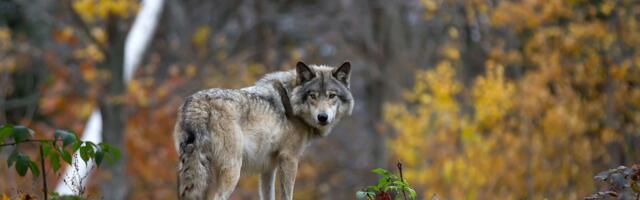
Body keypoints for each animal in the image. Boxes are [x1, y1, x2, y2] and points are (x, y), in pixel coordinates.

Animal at [174, 61, 356, 199]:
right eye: (313, 95)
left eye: (332, 95)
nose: (322, 117)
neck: (291, 102)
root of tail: (198, 104)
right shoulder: (289, 158)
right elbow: (287, 195)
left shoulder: (268, 167)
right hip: (232, 171)